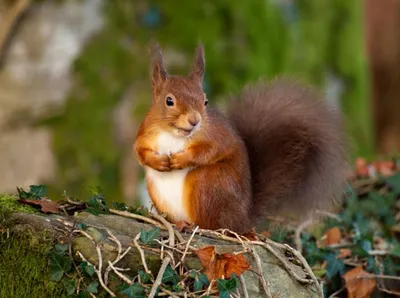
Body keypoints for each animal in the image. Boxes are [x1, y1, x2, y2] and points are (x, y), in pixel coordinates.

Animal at [134, 42, 346, 233]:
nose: (195, 121)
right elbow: (139, 151)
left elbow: (210, 150)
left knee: (216, 225)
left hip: (209, 182)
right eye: (169, 101)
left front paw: (181, 159)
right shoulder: (145, 134)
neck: (174, 134)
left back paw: (196, 226)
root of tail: (245, 219)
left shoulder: (218, 135)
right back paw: (178, 223)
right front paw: (157, 161)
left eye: (205, 101)